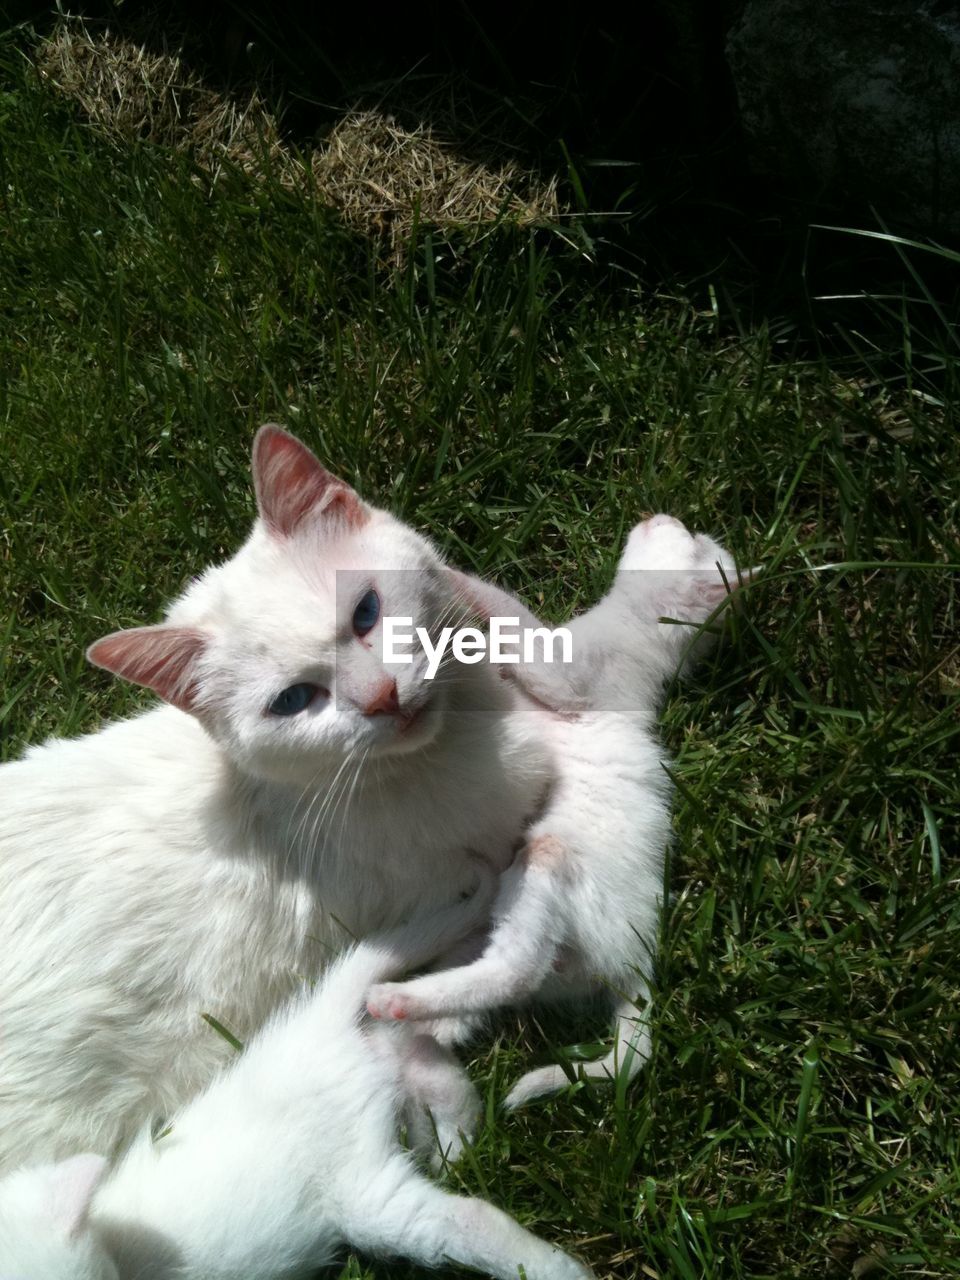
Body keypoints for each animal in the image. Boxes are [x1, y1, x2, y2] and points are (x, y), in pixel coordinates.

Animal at [0, 890, 593, 1280]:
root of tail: (314, 1026)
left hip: (359, 1189)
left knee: (465, 1214)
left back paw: (560, 1268)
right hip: (378, 1087)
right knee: (413, 1054)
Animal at [371, 514, 742, 1105]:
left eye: (694, 540)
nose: (659, 516)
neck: (639, 630)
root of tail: (638, 965)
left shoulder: (575, 679)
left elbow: (512, 618)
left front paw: (446, 574)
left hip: (549, 861)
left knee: (516, 970)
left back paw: (395, 1003)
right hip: (484, 927)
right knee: (470, 1006)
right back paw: (410, 1035)